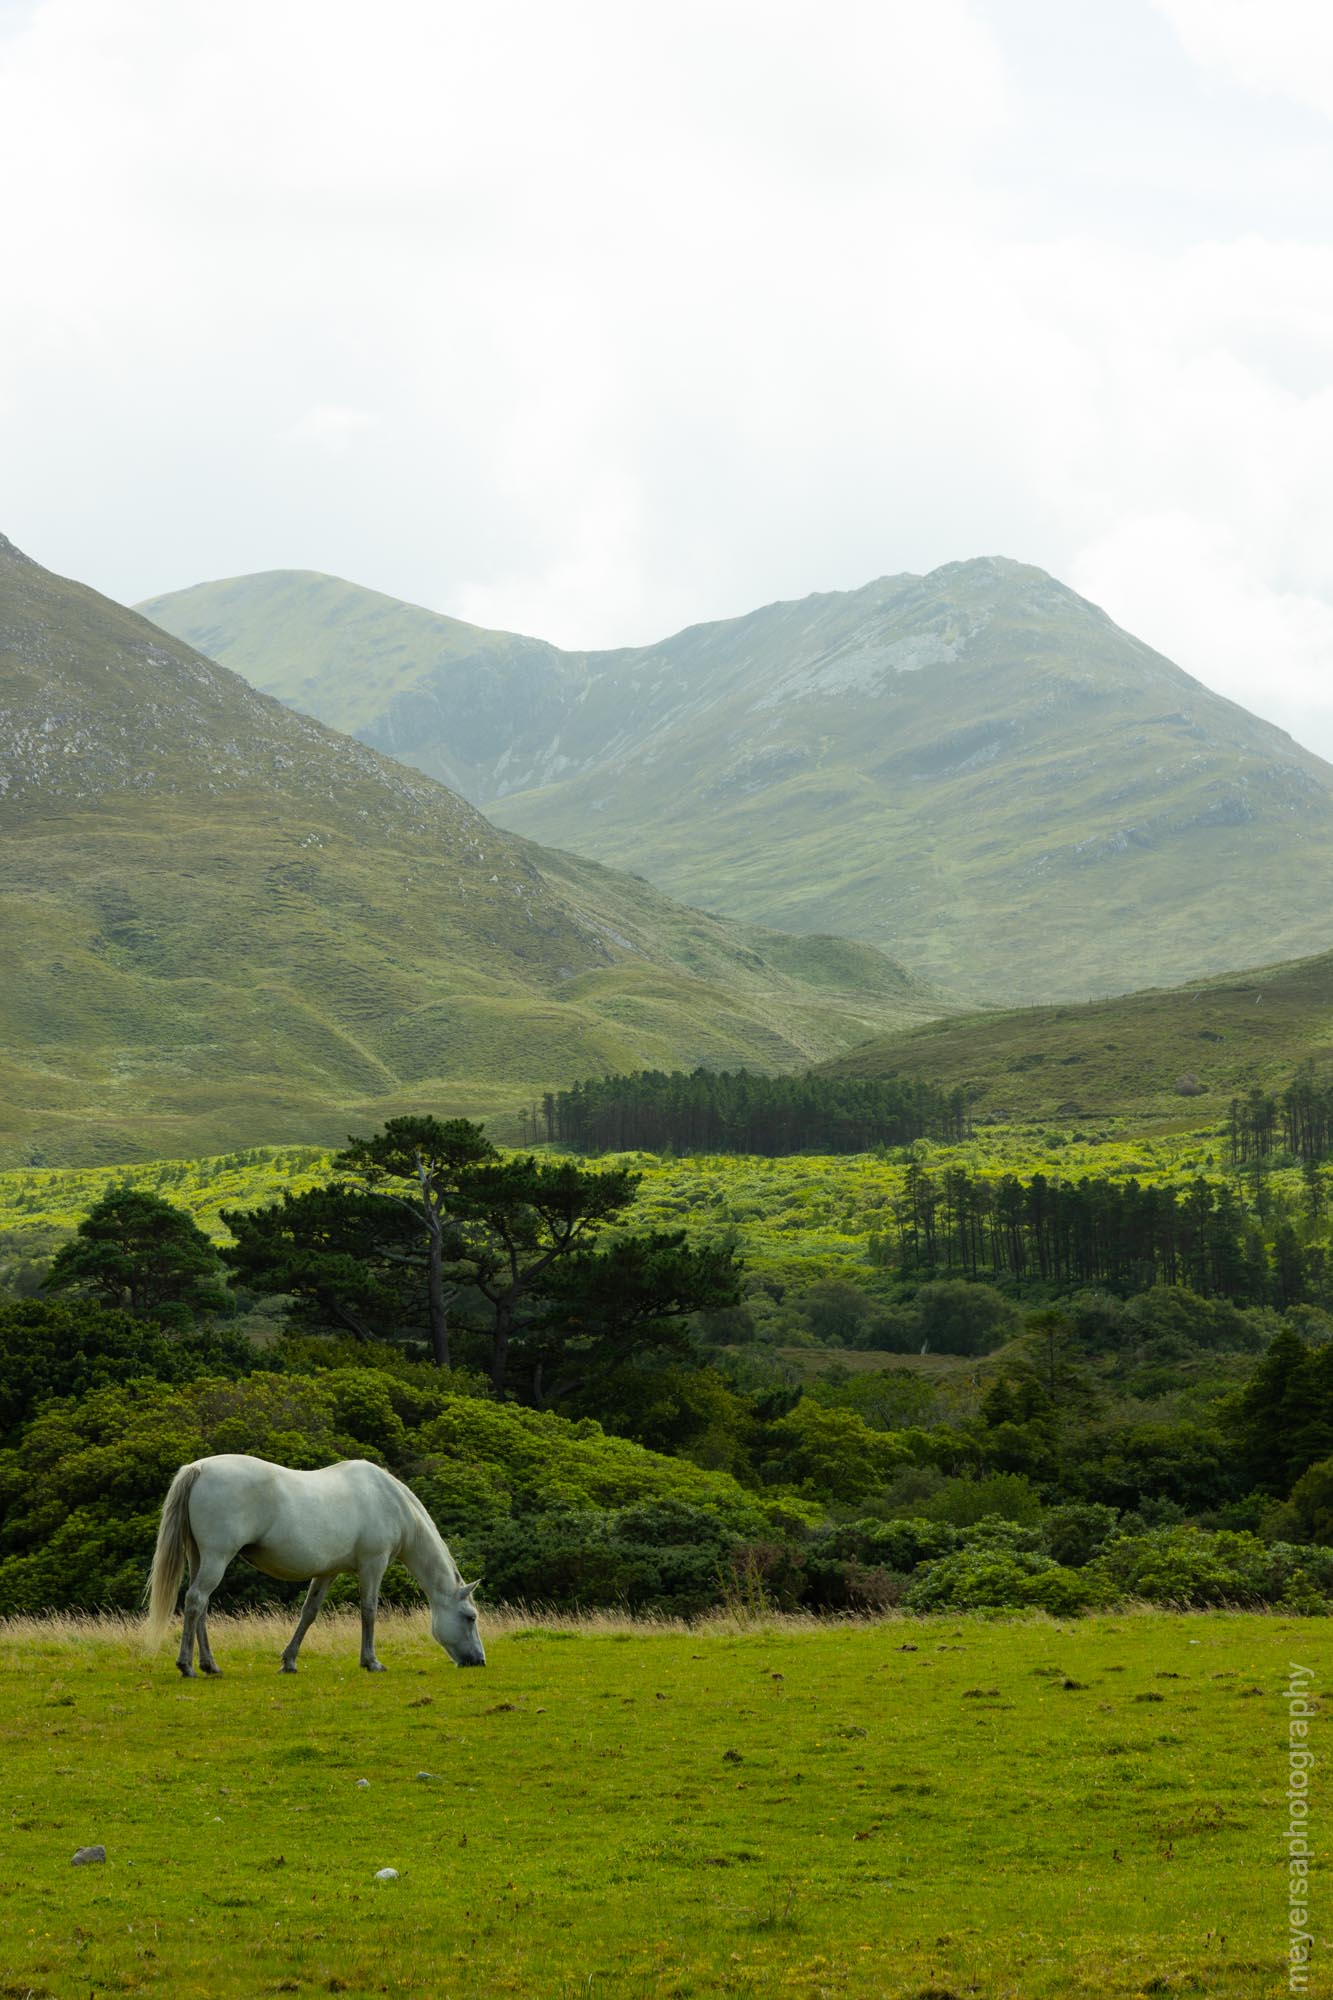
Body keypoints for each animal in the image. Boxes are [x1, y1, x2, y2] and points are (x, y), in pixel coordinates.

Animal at [143, 1456, 486, 1672]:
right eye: (469, 1617)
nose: (479, 1661)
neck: (390, 1501)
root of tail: (198, 1468)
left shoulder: (327, 1572)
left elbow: (309, 1613)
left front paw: (289, 1661)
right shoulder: (372, 1565)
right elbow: (369, 1610)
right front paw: (371, 1661)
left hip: (200, 1558)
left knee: (200, 1606)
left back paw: (209, 1664)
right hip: (217, 1557)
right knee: (196, 1600)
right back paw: (187, 1665)